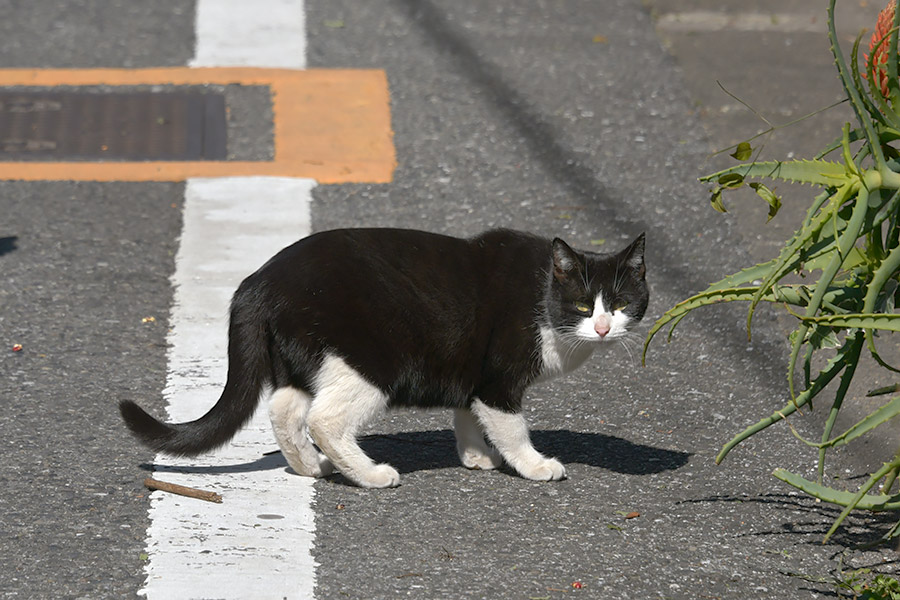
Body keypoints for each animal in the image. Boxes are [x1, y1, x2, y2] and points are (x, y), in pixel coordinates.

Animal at [123, 229, 652, 488]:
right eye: (582, 306)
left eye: (621, 303)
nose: (603, 328)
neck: (543, 296)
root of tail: (257, 280)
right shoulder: (500, 380)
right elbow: (512, 428)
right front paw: (534, 466)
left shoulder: (470, 370)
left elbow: (466, 411)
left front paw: (475, 457)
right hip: (370, 362)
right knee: (324, 420)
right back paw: (372, 476)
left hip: (305, 360)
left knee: (283, 409)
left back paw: (310, 469)